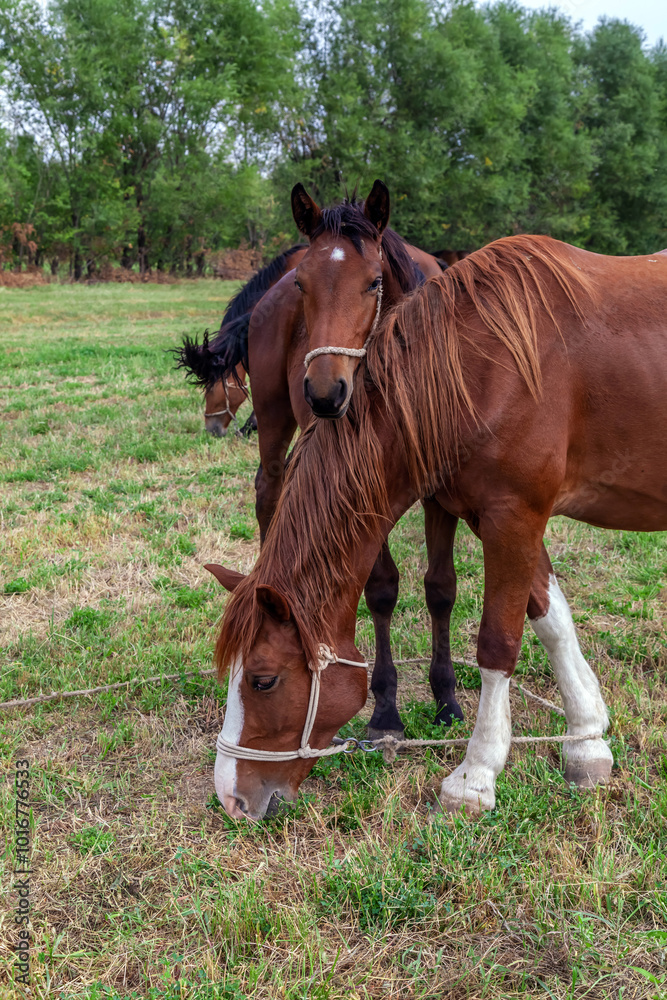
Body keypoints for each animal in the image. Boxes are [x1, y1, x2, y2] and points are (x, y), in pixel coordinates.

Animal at [205, 234, 667, 821]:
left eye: (263, 680)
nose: (231, 797)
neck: (480, 366)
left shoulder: (514, 515)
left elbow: (498, 642)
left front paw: (476, 774)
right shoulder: (499, 517)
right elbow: (551, 619)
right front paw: (586, 738)